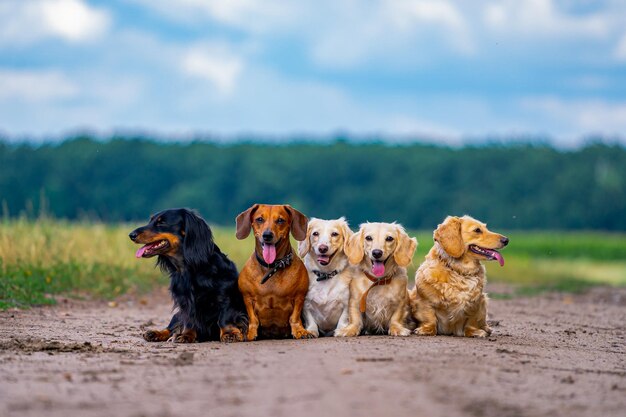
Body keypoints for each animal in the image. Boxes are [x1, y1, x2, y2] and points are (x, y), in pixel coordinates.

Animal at [129, 208, 246, 342]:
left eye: (161, 223)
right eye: (150, 221)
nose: (131, 235)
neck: (189, 268)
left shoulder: (224, 295)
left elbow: (224, 317)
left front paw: (229, 333)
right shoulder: (185, 301)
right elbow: (189, 319)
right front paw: (187, 335)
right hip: (177, 315)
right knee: (171, 327)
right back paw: (155, 333)